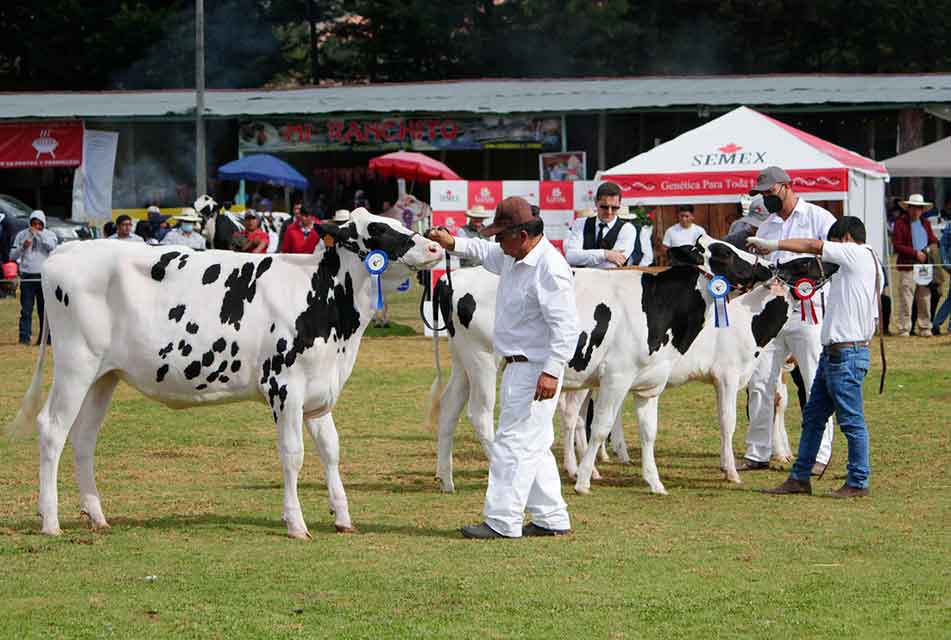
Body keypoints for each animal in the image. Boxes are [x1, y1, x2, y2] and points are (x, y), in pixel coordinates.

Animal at [8, 209, 442, 536]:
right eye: (379, 230)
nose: (437, 244)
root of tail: (66, 250)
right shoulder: (284, 388)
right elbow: (294, 455)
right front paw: (296, 522)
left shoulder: (318, 392)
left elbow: (331, 451)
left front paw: (343, 517)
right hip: (75, 364)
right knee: (52, 429)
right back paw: (50, 521)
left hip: (104, 376)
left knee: (82, 437)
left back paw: (97, 516)